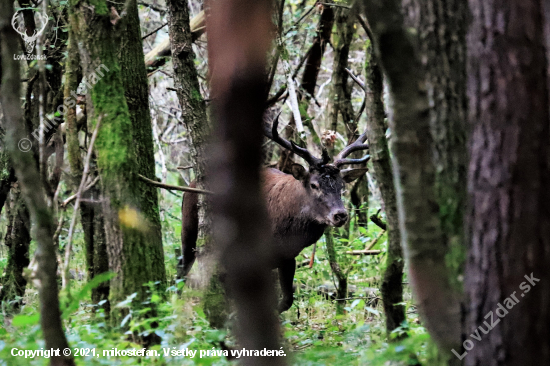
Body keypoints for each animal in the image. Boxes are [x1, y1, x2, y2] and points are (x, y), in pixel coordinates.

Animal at [180, 116, 370, 312]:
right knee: (184, 264)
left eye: (341, 186)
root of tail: (192, 182)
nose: (340, 215)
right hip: (189, 225)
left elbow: (286, 300)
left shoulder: (287, 257)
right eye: (314, 185)